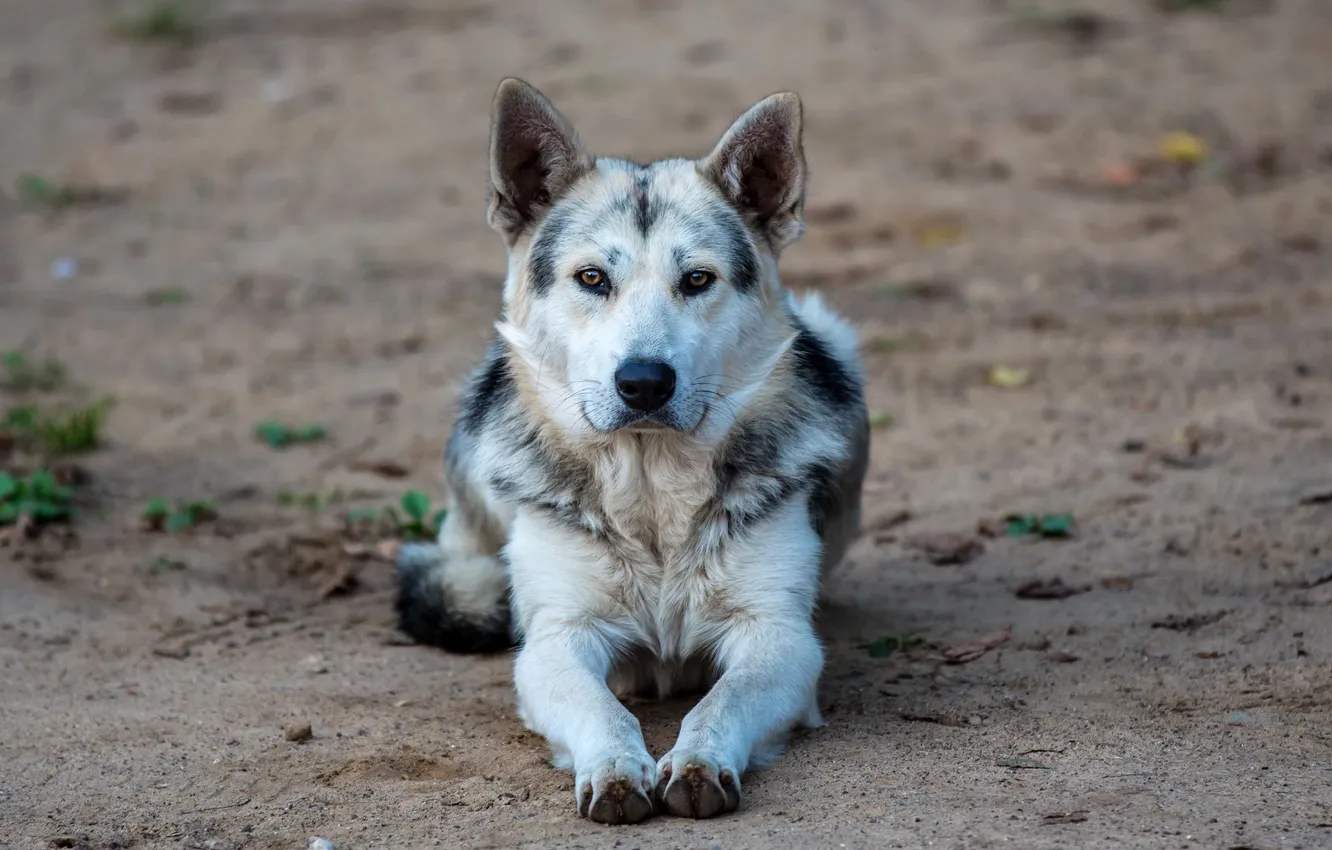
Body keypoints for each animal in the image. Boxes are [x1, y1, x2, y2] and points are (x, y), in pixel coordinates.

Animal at [391, 78, 873, 826]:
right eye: (592, 279)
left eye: (697, 281)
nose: (644, 382)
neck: (650, 493)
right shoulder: (556, 639)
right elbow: (602, 710)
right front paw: (615, 769)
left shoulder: (779, 635)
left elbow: (719, 703)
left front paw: (699, 761)